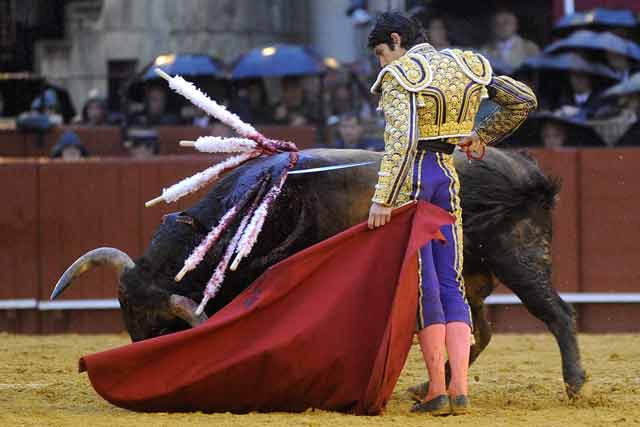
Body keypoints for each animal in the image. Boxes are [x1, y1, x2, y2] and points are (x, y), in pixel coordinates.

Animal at [52, 147, 588, 398]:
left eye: (162, 328)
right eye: (126, 314)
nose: (138, 361)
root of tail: (529, 173)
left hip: (520, 258)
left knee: (557, 315)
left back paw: (575, 382)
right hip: (470, 278)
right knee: (478, 331)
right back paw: (427, 388)